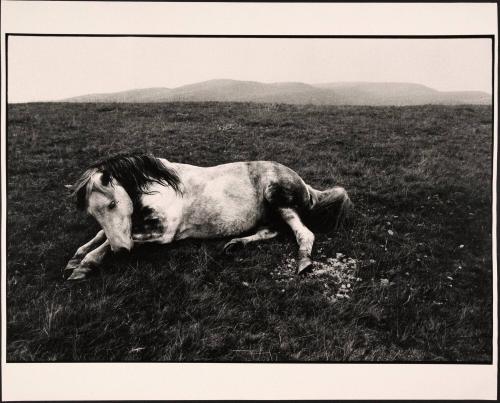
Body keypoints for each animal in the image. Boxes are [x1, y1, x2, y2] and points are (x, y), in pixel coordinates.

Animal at [63, 154, 352, 280]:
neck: (163, 188)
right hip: (269, 215)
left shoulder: (163, 233)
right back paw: (234, 244)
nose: (122, 251)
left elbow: (113, 242)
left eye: (112, 203)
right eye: (93, 212)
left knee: (303, 233)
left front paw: (85, 264)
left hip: (279, 201)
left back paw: (304, 262)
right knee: (271, 231)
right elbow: (102, 234)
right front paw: (78, 255)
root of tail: (303, 183)